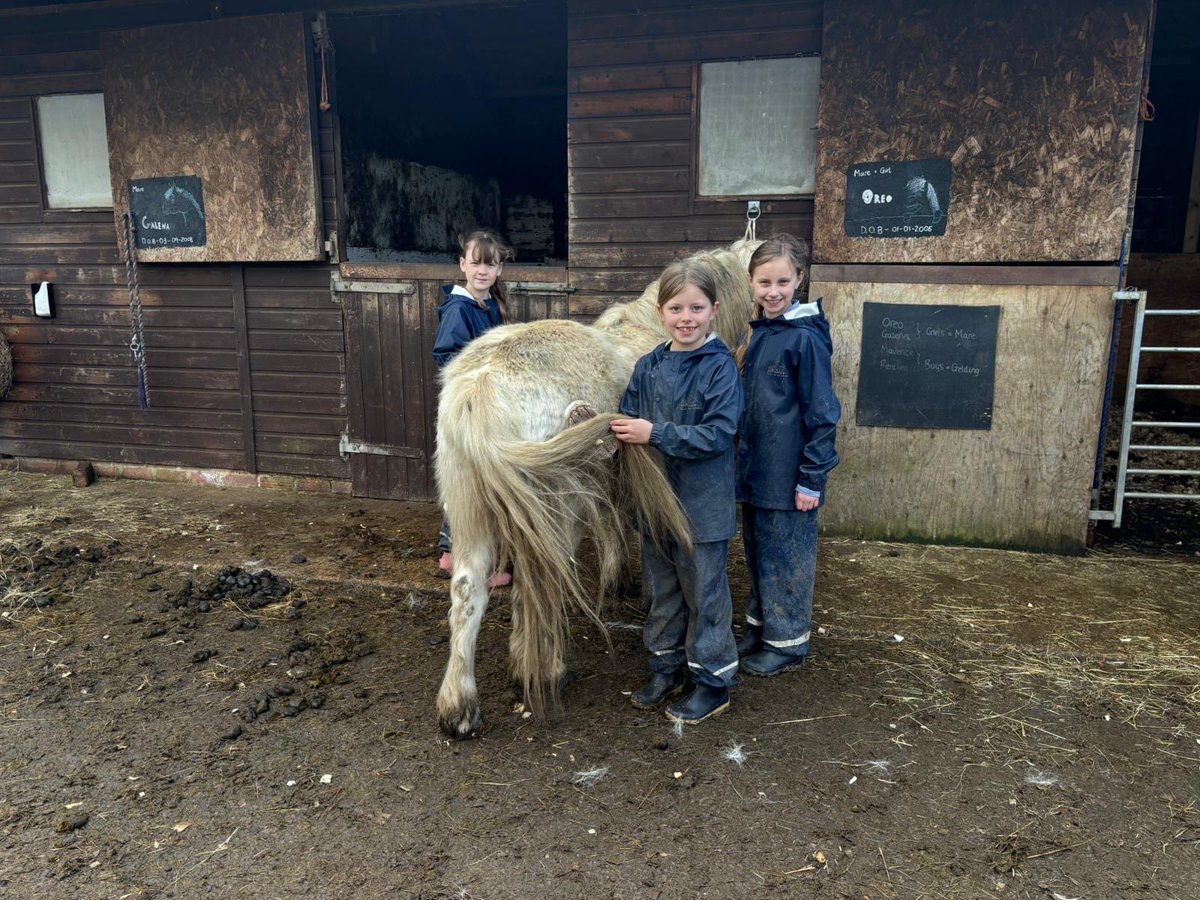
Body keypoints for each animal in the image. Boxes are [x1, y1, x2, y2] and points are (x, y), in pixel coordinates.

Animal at [434, 240, 759, 739]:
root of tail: (479, 390)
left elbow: (610, 524)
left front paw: (617, 576)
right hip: (552, 514)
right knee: (536, 584)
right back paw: (541, 669)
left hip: (472, 514)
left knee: (469, 589)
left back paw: (460, 710)